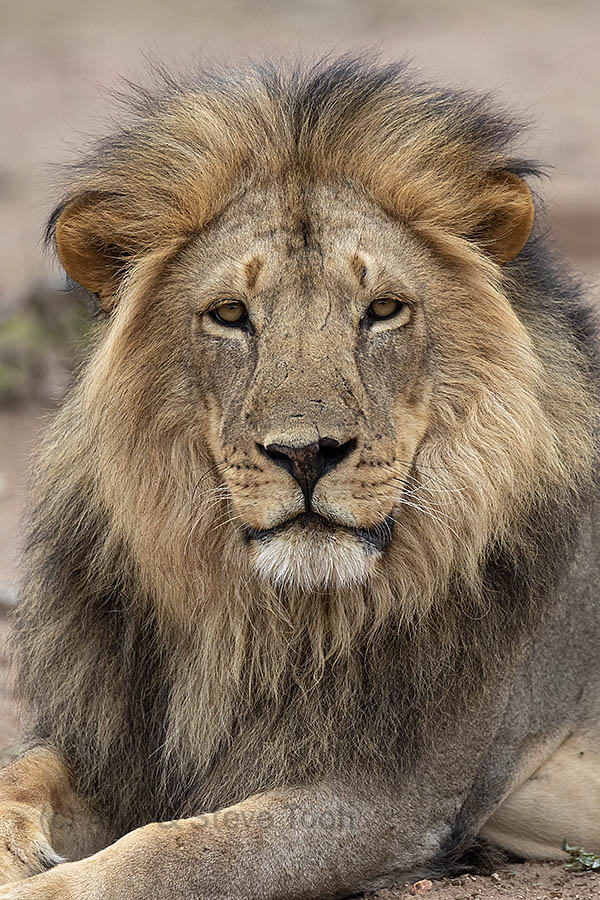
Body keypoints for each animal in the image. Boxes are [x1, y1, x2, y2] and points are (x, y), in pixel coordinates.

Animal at [0, 55, 598, 900]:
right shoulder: (123, 742)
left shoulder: (392, 801)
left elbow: (176, 852)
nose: (307, 452)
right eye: (230, 315)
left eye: (383, 310)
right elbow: (24, 772)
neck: (261, 618)